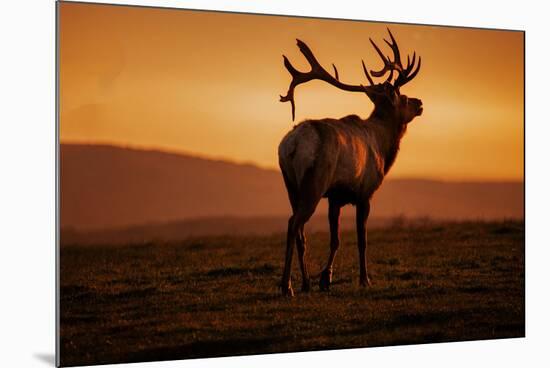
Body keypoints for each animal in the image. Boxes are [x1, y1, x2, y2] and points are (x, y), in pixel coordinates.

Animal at [278, 30, 424, 298]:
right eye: (403, 97)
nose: (419, 103)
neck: (383, 147)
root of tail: (292, 145)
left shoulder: (335, 197)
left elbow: (335, 240)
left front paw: (325, 279)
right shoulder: (365, 192)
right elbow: (361, 239)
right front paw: (365, 280)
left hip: (290, 184)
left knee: (300, 231)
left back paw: (305, 283)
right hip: (314, 183)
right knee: (294, 223)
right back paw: (287, 286)